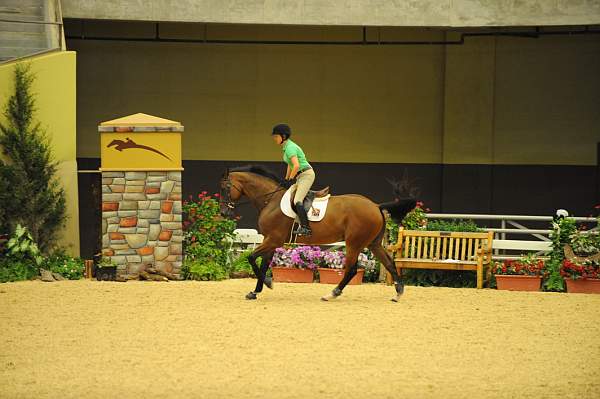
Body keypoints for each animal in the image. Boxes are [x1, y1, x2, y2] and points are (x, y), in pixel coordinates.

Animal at [218, 165, 414, 300]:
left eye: (225, 188)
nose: (224, 213)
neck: (270, 200)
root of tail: (375, 206)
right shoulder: (270, 240)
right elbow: (264, 264)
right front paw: (255, 291)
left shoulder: (273, 240)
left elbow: (251, 258)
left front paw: (268, 283)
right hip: (373, 243)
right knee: (389, 263)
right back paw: (398, 293)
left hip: (354, 243)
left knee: (352, 269)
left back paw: (332, 293)